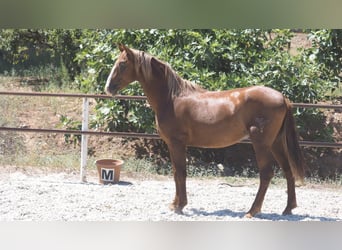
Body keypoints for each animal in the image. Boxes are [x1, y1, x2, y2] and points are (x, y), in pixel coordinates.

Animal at [105, 44, 304, 217]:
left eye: (122, 64)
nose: (108, 88)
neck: (172, 99)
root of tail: (283, 98)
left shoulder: (177, 143)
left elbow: (180, 173)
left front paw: (180, 205)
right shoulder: (172, 145)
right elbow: (176, 173)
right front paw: (175, 204)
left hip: (261, 143)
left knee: (266, 174)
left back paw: (252, 211)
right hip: (276, 143)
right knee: (288, 171)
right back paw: (288, 208)